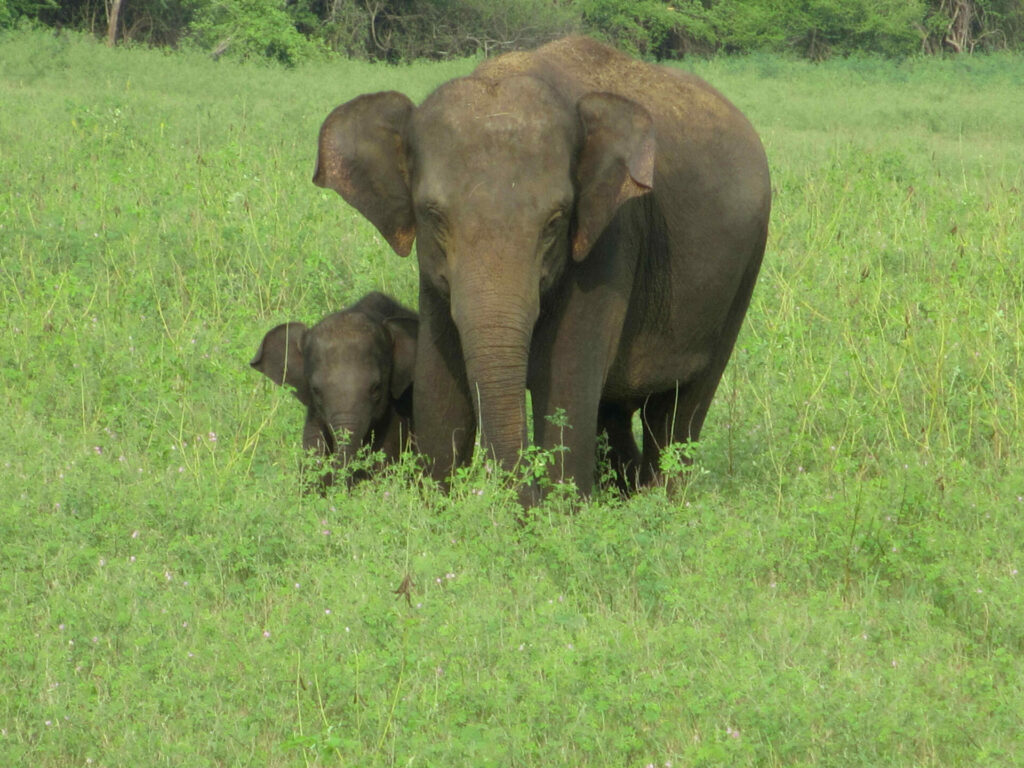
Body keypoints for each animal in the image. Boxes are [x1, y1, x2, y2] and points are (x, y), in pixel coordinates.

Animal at [311, 37, 770, 499]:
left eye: (555, 220)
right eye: (433, 215)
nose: (512, 489)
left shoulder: (610, 241)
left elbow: (567, 383)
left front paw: (555, 508)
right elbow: (438, 389)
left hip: (745, 268)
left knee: (679, 412)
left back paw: (661, 499)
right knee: (617, 411)